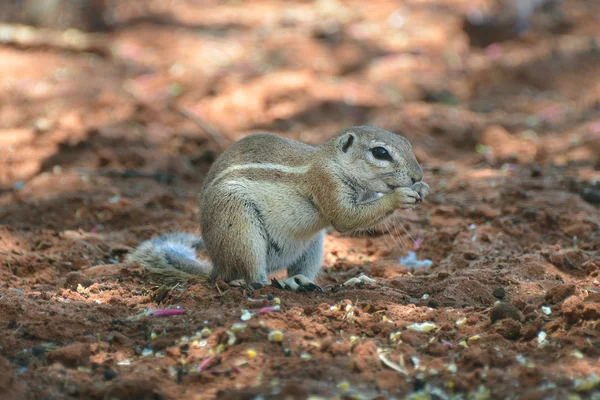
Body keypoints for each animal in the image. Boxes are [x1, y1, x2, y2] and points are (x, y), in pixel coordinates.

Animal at [126, 126, 428, 292]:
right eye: (380, 153)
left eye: (408, 143)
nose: (417, 175)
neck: (333, 161)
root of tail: (217, 267)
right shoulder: (326, 182)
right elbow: (345, 217)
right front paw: (399, 197)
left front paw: (423, 188)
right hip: (241, 229)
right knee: (252, 280)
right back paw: (279, 284)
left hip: (312, 246)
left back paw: (333, 282)